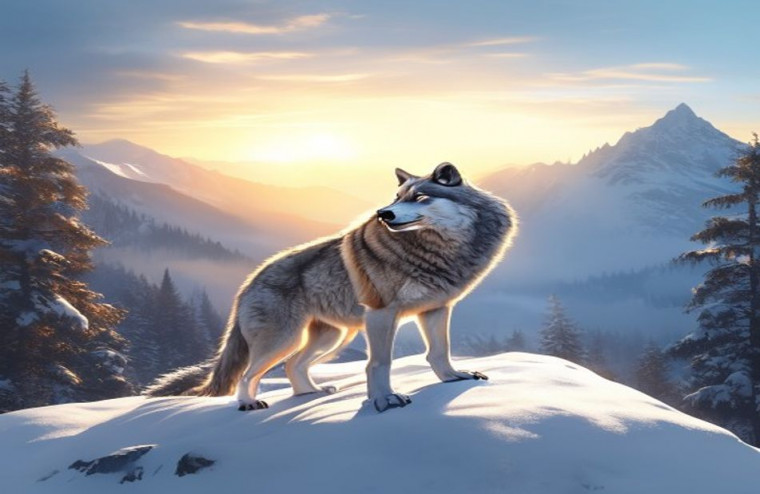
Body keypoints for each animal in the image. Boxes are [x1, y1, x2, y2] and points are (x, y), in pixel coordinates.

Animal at [145, 162, 516, 412]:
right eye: (396, 197)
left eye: (420, 197)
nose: (383, 214)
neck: (437, 250)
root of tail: (248, 282)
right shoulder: (381, 314)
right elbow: (379, 362)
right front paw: (384, 399)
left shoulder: (437, 309)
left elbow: (439, 351)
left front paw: (453, 377)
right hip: (286, 339)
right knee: (250, 373)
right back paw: (250, 404)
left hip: (331, 338)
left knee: (293, 367)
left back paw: (311, 394)